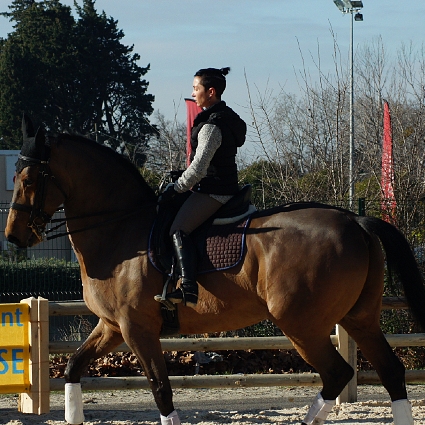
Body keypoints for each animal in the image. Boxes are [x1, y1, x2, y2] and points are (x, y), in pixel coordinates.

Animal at [4, 116, 424, 424]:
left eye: (29, 179)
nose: (13, 236)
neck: (120, 230)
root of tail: (355, 220)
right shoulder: (112, 326)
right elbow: (74, 368)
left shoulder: (137, 328)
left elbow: (161, 388)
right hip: (359, 318)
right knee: (391, 372)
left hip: (301, 324)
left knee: (337, 374)